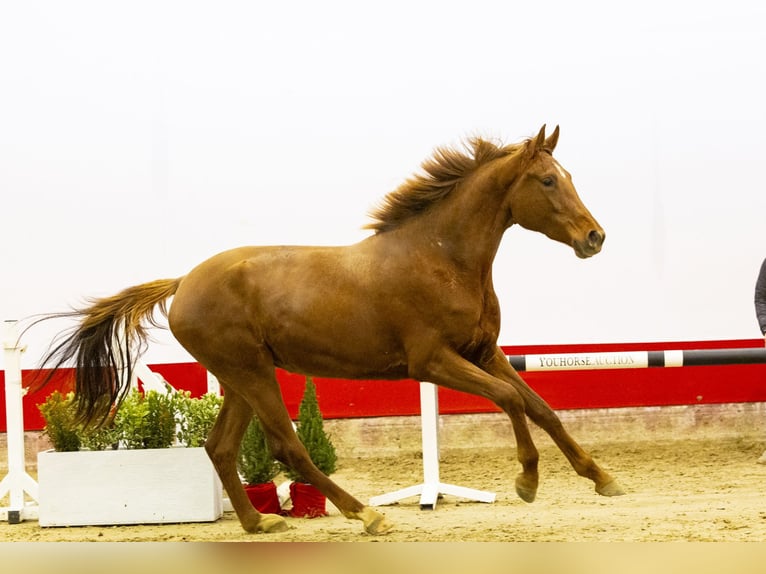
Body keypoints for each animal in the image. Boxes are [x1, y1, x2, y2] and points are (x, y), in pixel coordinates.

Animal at [34, 125, 624, 536]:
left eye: (569, 177)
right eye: (547, 180)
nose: (595, 238)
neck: (443, 258)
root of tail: (183, 282)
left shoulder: (482, 352)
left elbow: (542, 407)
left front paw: (603, 479)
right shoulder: (433, 361)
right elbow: (512, 400)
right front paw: (527, 481)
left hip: (242, 377)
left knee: (220, 447)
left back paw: (259, 522)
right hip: (252, 372)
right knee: (287, 446)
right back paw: (365, 515)